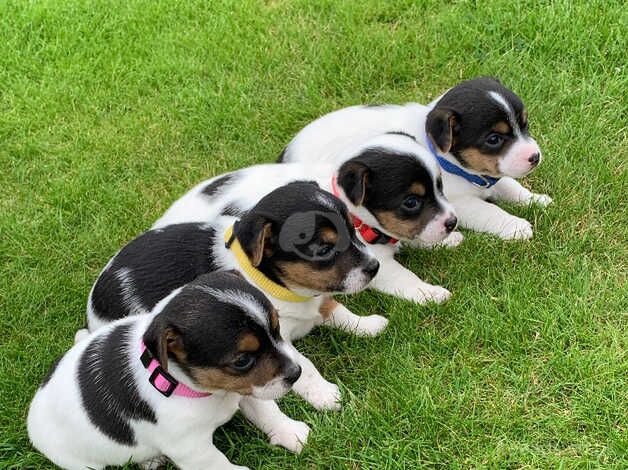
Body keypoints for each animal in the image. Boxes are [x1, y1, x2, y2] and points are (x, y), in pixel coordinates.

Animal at [28, 270, 302, 470]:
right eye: (243, 360)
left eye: (277, 328)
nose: (296, 373)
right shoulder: (192, 449)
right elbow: (219, 464)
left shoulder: (243, 388)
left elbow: (266, 410)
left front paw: (291, 433)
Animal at [86, 182, 380, 414]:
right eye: (323, 249)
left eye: (353, 230)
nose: (375, 267)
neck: (276, 284)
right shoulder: (278, 339)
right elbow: (305, 364)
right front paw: (326, 395)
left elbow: (336, 309)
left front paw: (368, 325)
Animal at [152, 131, 456, 304]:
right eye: (411, 202)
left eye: (441, 186)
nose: (452, 222)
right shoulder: (375, 262)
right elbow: (403, 277)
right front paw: (429, 293)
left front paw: (449, 240)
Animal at [280, 76, 548, 242]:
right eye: (494, 139)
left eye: (525, 124)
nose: (535, 157)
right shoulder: (458, 202)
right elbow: (489, 211)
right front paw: (516, 226)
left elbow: (511, 186)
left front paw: (535, 199)